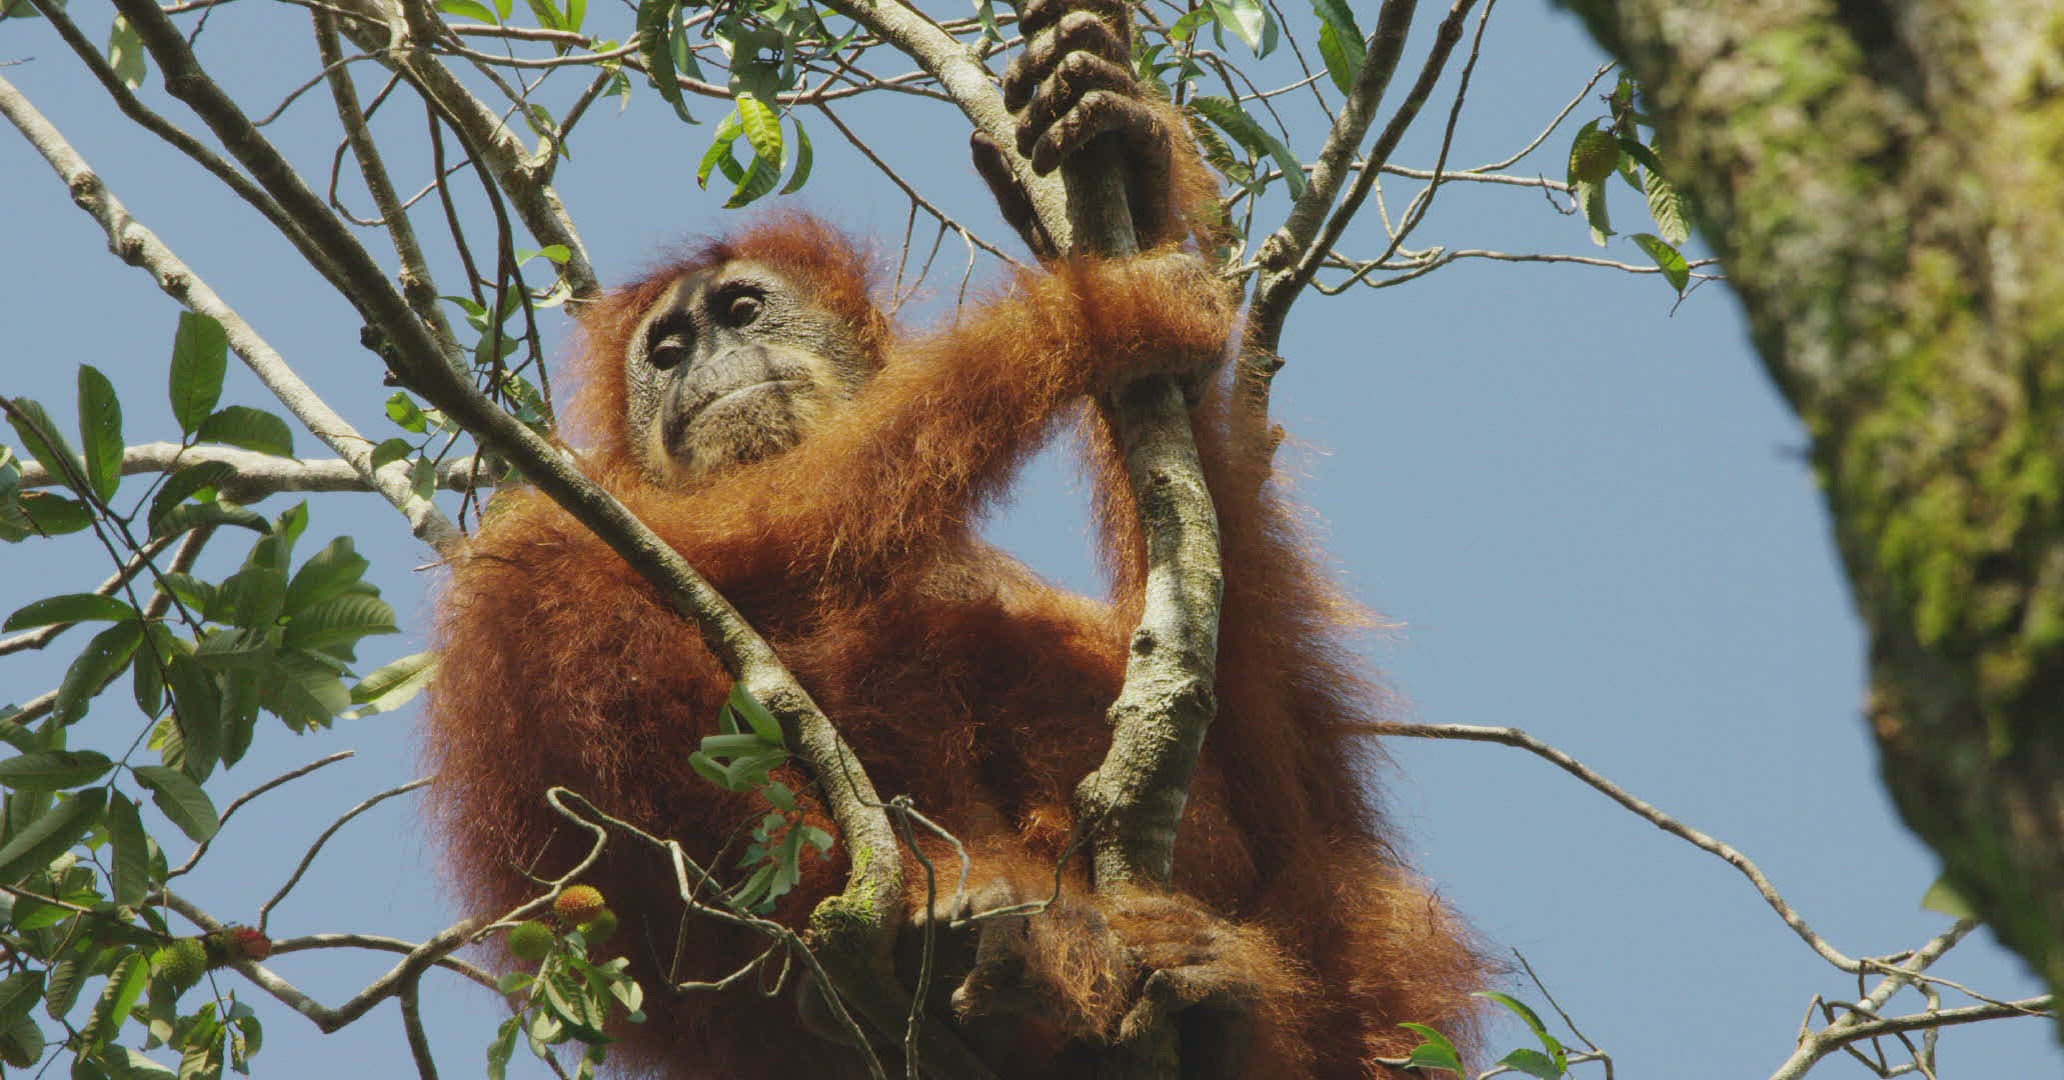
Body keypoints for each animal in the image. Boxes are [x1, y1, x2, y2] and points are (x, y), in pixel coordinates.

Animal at [424, 0, 1485, 1075]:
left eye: (741, 310)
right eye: (668, 349)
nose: (700, 362)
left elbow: (1289, 787)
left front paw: (1126, 142)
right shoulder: (573, 498)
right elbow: (763, 537)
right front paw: (1110, 307)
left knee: (1349, 894)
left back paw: (1205, 994)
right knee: (603, 630)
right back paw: (980, 951)